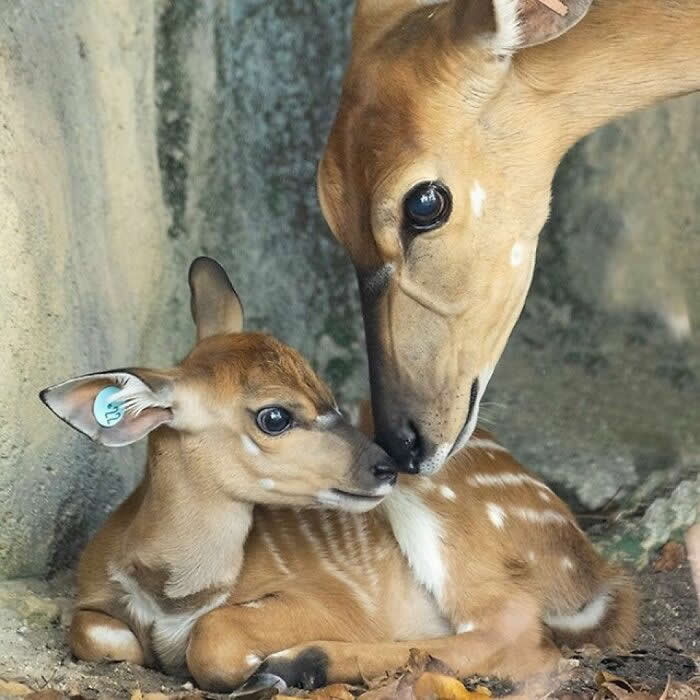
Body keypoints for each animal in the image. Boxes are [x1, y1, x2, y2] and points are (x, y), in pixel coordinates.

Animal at [41, 256, 636, 692]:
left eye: (323, 386)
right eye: (274, 415)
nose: (385, 465)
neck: (174, 596)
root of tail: (595, 574)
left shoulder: (330, 601)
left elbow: (216, 636)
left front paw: (263, 674)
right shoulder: (94, 603)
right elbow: (97, 634)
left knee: (518, 640)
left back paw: (299, 664)